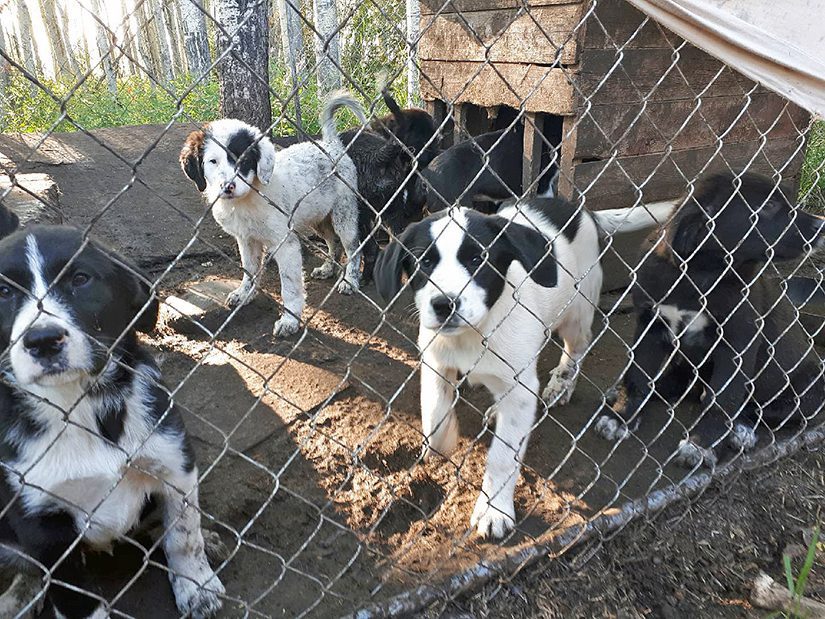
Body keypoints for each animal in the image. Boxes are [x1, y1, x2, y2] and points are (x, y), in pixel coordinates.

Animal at [0, 212, 224, 616]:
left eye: (80, 279)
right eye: (4, 293)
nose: (42, 340)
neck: (78, 406)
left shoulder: (174, 461)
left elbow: (184, 533)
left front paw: (197, 585)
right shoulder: (39, 523)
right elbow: (74, 595)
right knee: (27, 568)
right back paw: (16, 599)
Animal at [182, 91, 366, 340]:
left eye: (244, 160)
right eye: (213, 161)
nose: (227, 187)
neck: (248, 198)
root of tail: (330, 144)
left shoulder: (285, 244)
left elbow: (289, 286)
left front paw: (290, 320)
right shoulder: (246, 240)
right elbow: (249, 270)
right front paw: (244, 294)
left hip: (343, 213)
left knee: (353, 247)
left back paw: (350, 280)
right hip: (318, 217)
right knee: (332, 242)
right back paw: (328, 268)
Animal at [374, 196, 676, 536]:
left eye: (478, 258)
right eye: (424, 262)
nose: (444, 304)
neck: (475, 333)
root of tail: (579, 210)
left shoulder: (520, 388)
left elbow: (503, 456)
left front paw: (494, 511)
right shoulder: (436, 361)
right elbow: (434, 412)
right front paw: (444, 438)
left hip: (577, 311)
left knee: (578, 348)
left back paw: (562, 384)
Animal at [596, 172, 824, 468]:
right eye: (769, 206)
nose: (821, 226)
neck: (701, 274)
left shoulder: (738, 342)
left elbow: (724, 398)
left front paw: (701, 445)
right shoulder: (650, 325)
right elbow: (639, 375)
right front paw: (621, 417)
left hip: (809, 393)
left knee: (756, 410)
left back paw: (742, 431)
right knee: (675, 381)